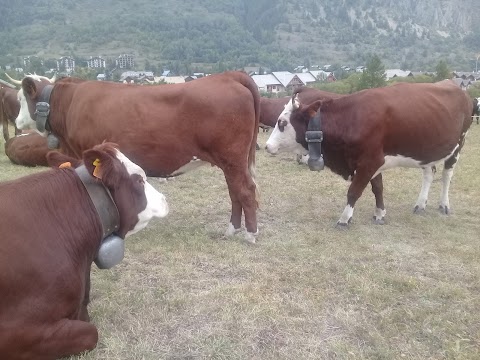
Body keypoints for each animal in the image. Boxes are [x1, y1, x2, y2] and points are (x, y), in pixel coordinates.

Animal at [13, 71, 260, 242]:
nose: (16, 121)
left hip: (233, 158)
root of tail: (229, 75)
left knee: (245, 191)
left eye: (21, 98)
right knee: (235, 191)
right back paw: (232, 229)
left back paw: (250, 234)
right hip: (230, 162)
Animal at [266, 80, 472, 226]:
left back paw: (444, 204)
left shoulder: (370, 162)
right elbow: (377, 188)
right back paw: (420, 204)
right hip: (426, 151)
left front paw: (345, 218)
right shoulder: (373, 162)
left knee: (446, 176)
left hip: (458, 145)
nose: (268, 146)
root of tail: (455, 85)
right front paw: (380, 214)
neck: (352, 118)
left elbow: (354, 191)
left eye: (282, 123)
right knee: (429, 173)